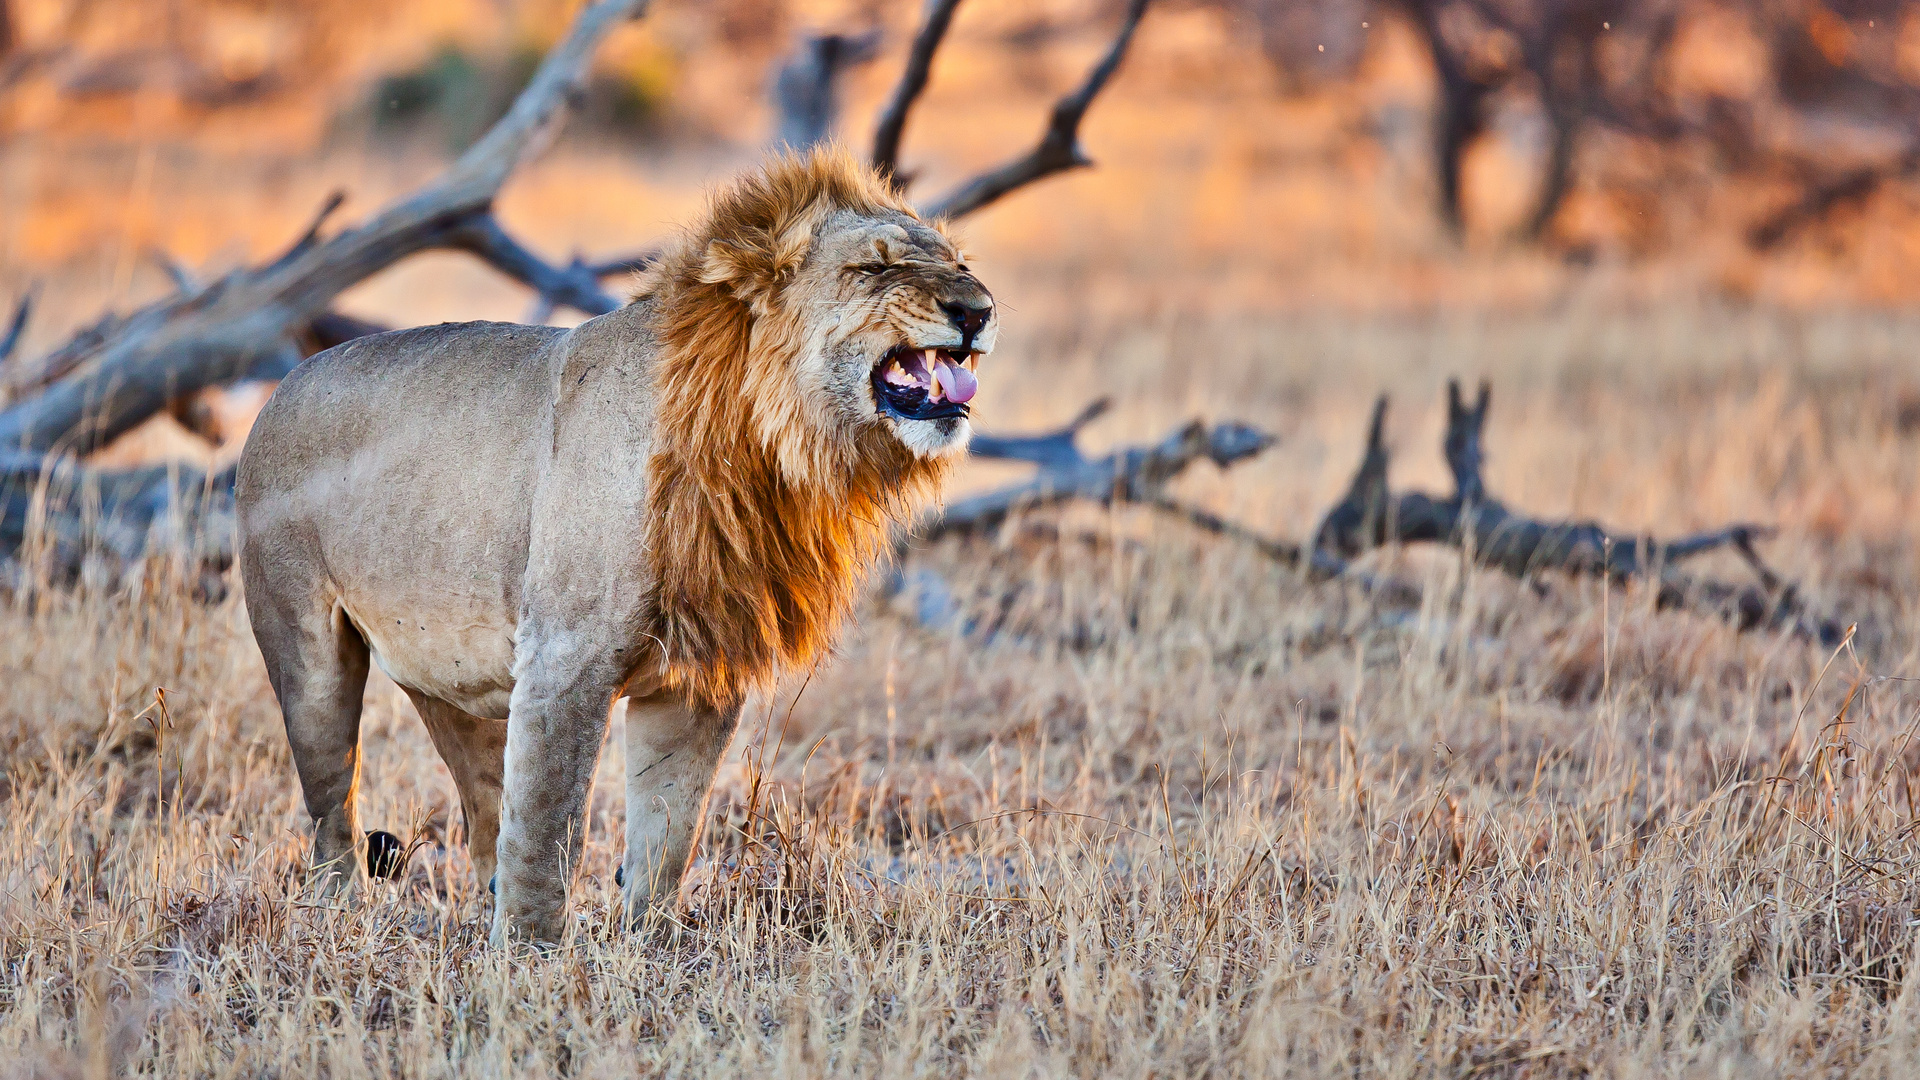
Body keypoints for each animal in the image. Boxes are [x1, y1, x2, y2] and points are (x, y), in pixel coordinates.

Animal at [232, 145, 998, 941]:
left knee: (481, 813)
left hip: (450, 680)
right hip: (308, 657)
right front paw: (530, 955)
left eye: (959, 262)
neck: (766, 443)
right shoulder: (565, 656)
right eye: (874, 268)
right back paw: (339, 919)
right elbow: (548, 827)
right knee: (333, 814)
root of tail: (283, 382)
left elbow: (668, 830)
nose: (978, 311)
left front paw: (649, 943)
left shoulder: (698, 674)